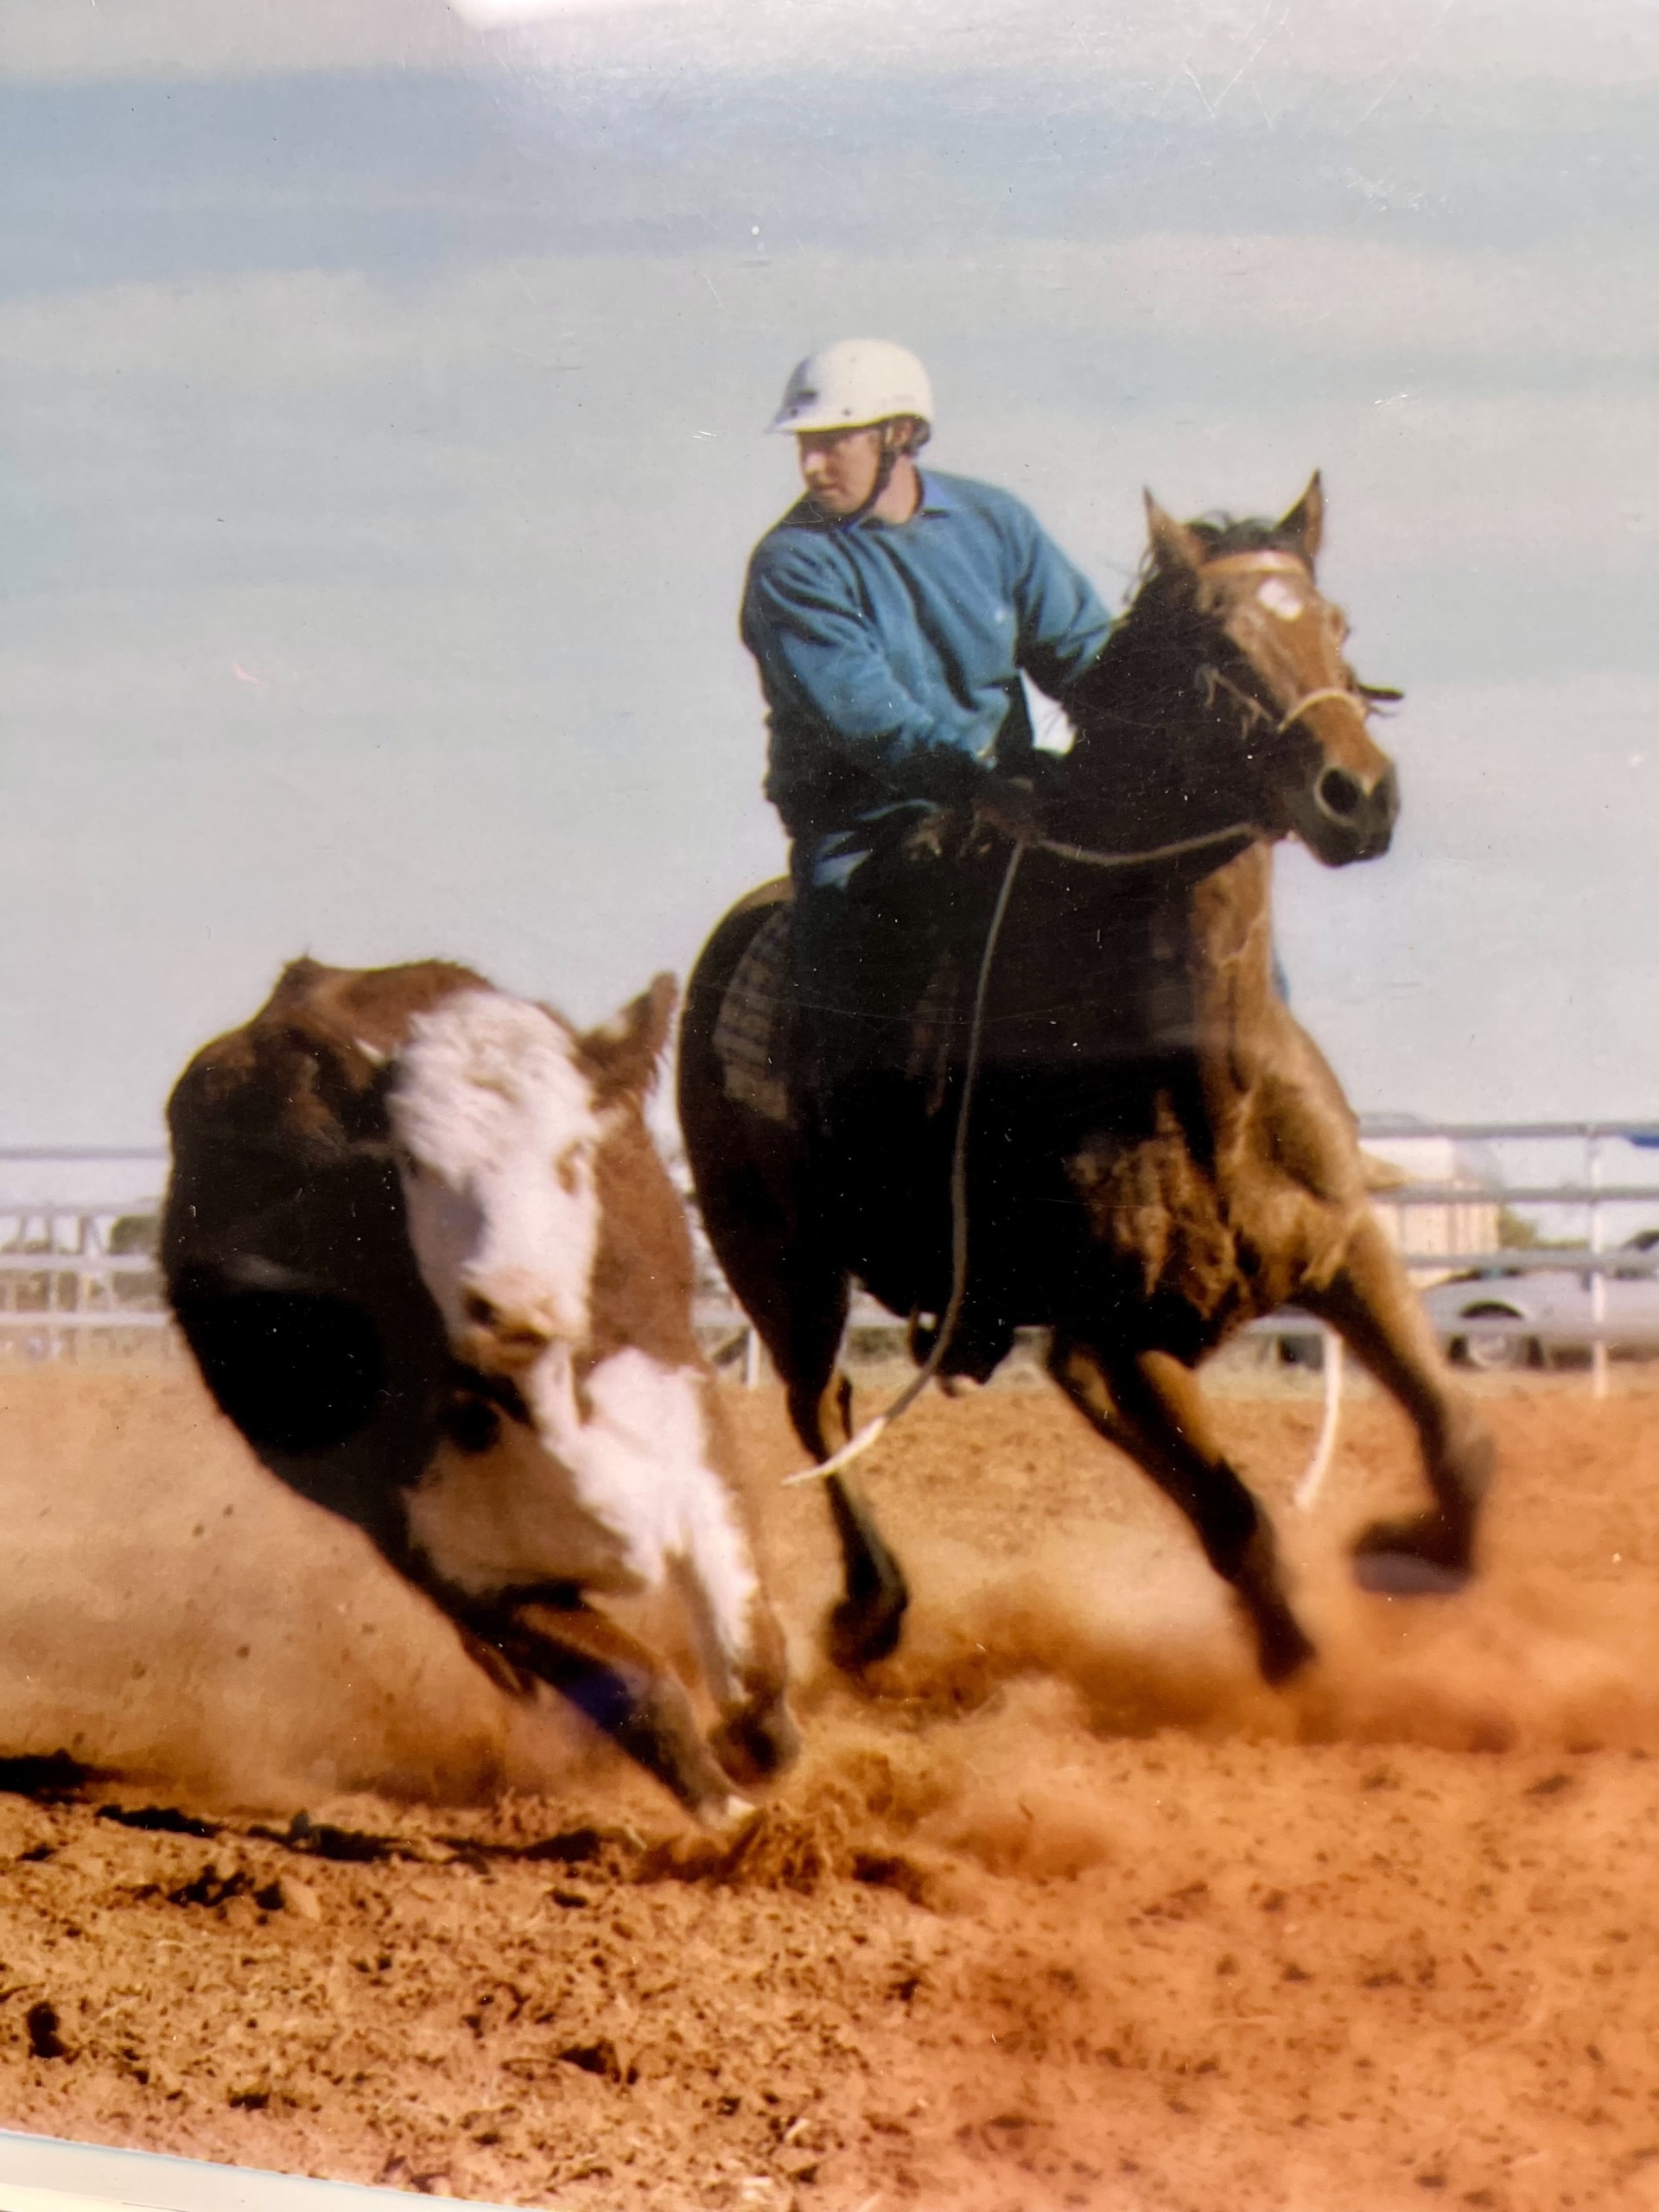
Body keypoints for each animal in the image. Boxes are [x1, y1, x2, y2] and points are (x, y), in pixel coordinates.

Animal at [161, 956, 797, 1822]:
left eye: (573, 1153)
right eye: (413, 1164)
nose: (513, 1302)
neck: (543, 1410)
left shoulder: (691, 1445)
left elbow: (749, 1660)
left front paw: (773, 1766)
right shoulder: (457, 1564)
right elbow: (635, 1686)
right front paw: (732, 1823)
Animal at [677, 475, 1495, 1687]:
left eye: (1335, 624)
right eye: (1216, 643)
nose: (1358, 794)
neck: (1201, 1085)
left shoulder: (1347, 1252)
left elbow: (1460, 1440)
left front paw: (1394, 1549)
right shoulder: (1106, 1345)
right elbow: (1237, 1522)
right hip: (779, 1263)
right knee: (817, 1404)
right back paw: (870, 1611)